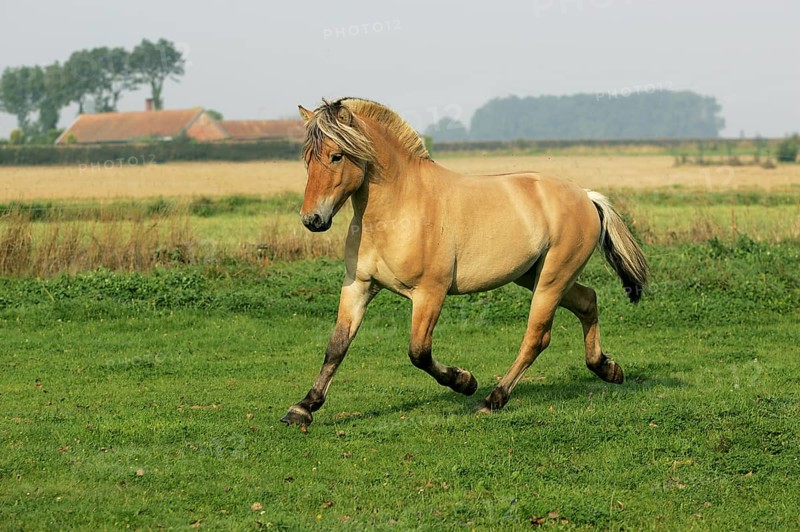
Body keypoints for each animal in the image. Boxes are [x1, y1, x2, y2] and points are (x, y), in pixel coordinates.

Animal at [280, 97, 648, 427]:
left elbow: (419, 352)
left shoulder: (430, 293)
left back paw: (492, 399)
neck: (400, 209)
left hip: (552, 281)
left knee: (537, 337)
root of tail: (585, 196)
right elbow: (336, 346)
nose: (312, 220)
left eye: (336, 155)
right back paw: (607, 368)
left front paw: (464, 381)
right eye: (307, 159)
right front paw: (302, 408)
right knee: (587, 301)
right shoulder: (359, 286)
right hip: (535, 276)